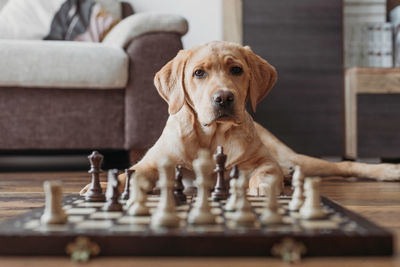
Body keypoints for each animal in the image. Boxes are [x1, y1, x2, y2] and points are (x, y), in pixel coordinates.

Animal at [79, 41, 398, 197]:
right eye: (199, 73)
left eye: (236, 70)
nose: (223, 98)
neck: (211, 136)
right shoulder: (152, 164)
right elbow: (128, 173)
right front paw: (104, 186)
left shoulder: (264, 160)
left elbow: (265, 171)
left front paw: (262, 185)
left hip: (291, 157)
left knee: (344, 166)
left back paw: (388, 171)